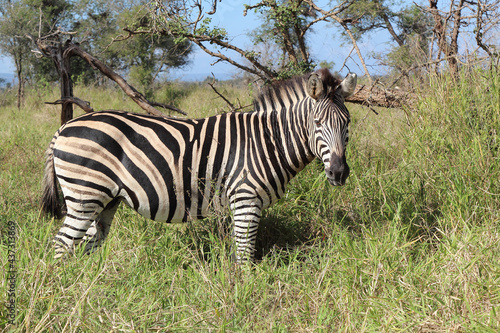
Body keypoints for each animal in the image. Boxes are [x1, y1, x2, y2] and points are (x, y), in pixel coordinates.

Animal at [41, 68, 358, 262]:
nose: (339, 173)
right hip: (85, 193)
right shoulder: (245, 199)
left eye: (348, 122)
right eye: (317, 123)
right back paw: (65, 293)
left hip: (104, 200)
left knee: (87, 245)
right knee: (61, 245)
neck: (269, 141)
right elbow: (244, 255)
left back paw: (89, 288)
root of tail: (66, 126)